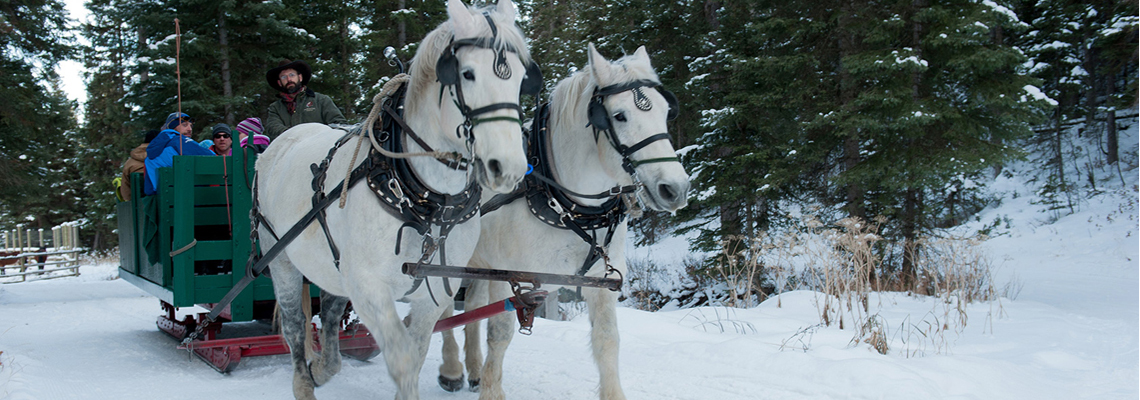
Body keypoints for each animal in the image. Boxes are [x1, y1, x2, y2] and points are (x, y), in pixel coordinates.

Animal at [258, 1, 538, 398]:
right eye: (467, 74)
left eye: (520, 79)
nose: (508, 167)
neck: (428, 200)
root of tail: (281, 142)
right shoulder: (370, 288)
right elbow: (403, 359)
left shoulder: (429, 295)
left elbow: (415, 355)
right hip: (279, 257)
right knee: (295, 324)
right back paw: (303, 381)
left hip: (333, 265)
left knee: (329, 311)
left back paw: (324, 367)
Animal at [430, 43, 688, 400]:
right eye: (620, 115)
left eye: (665, 111)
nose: (675, 188)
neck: (565, 205)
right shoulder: (510, 278)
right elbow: (500, 333)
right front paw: (491, 390)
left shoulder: (601, 283)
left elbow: (607, 340)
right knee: (441, 308)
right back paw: (452, 370)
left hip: (477, 264)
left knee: (471, 305)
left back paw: (474, 369)